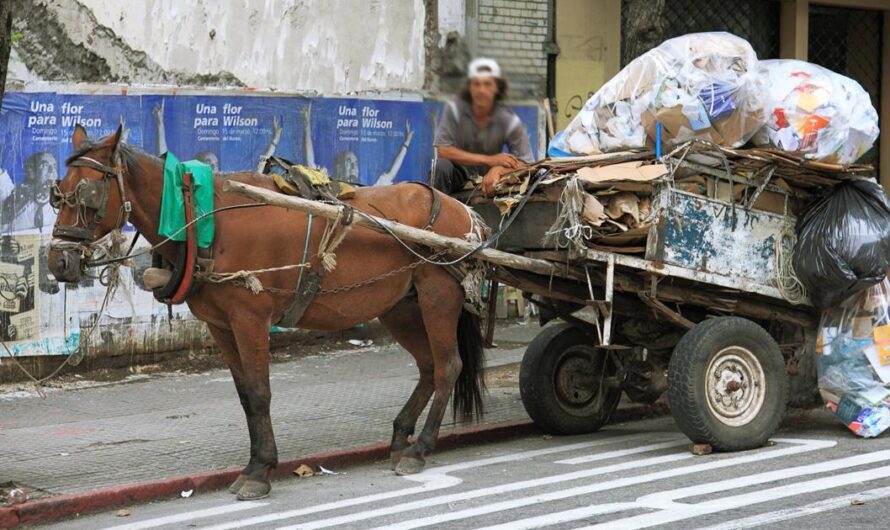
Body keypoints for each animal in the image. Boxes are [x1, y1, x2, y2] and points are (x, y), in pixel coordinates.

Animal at [46, 125, 486, 500]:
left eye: (88, 193)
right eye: (57, 193)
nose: (57, 262)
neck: (201, 217)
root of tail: (461, 210)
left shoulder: (250, 320)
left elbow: (260, 393)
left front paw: (260, 471)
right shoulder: (221, 326)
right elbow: (245, 396)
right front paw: (256, 462)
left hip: (437, 295)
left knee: (448, 366)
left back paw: (420, 447)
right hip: (400, 307)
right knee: (429, 366)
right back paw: (400, 437)